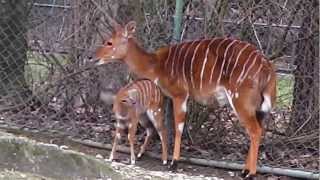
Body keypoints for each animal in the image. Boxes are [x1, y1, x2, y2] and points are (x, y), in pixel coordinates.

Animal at [94, 20, 276, 177]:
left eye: (109, 42)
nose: (92, 57)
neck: (157, 65)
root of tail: (267, 67)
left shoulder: (179, 94)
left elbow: (178, 127)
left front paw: (173, 163)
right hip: (254, 105)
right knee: (257, 128)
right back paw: (244, 171)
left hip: (240, 100)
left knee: (255, 130)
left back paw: (251, 174)